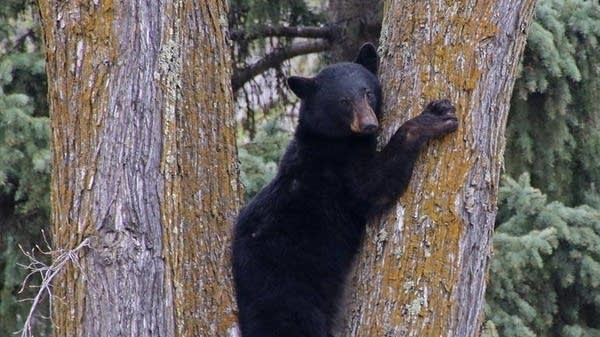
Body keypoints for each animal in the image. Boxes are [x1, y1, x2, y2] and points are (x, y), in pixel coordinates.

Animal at [232, 42, 458, 336]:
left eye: (368, 92)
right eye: (343, 102)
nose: (369, 124)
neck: (336, 141)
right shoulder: (336, 175)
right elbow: (373, 189)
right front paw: (435, 117)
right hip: (286, 294)